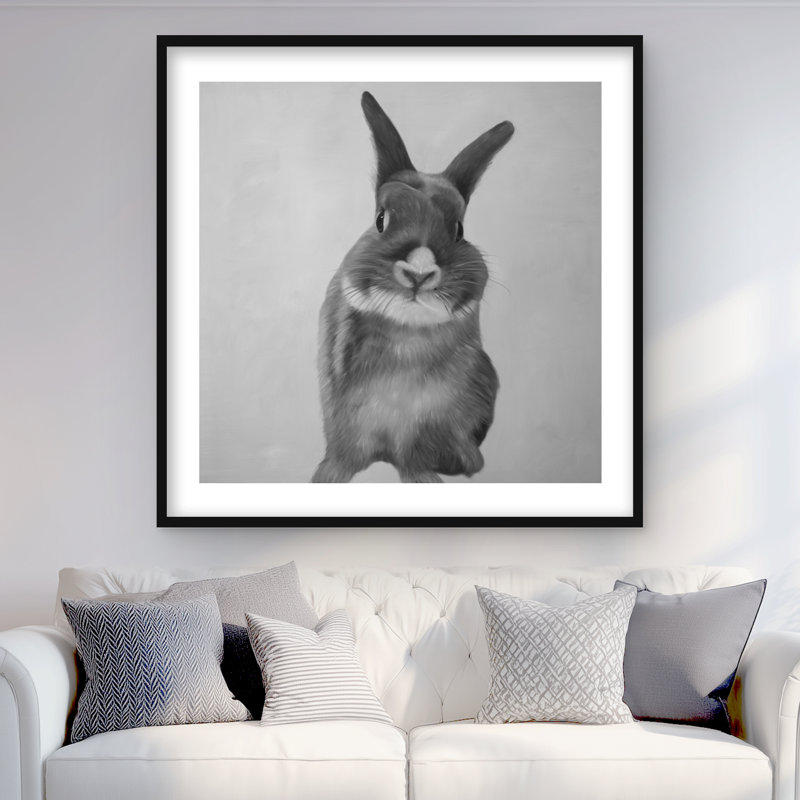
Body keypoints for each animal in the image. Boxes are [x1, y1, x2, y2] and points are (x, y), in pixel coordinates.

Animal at [312, 91, 514, 483]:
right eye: (381, 219)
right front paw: (327, 476)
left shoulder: (422, 431)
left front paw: (426, 478)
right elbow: (344, 456)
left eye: (458, 230)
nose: (419, 273)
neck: (407, 334)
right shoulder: (344, 421)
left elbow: (414, 461)